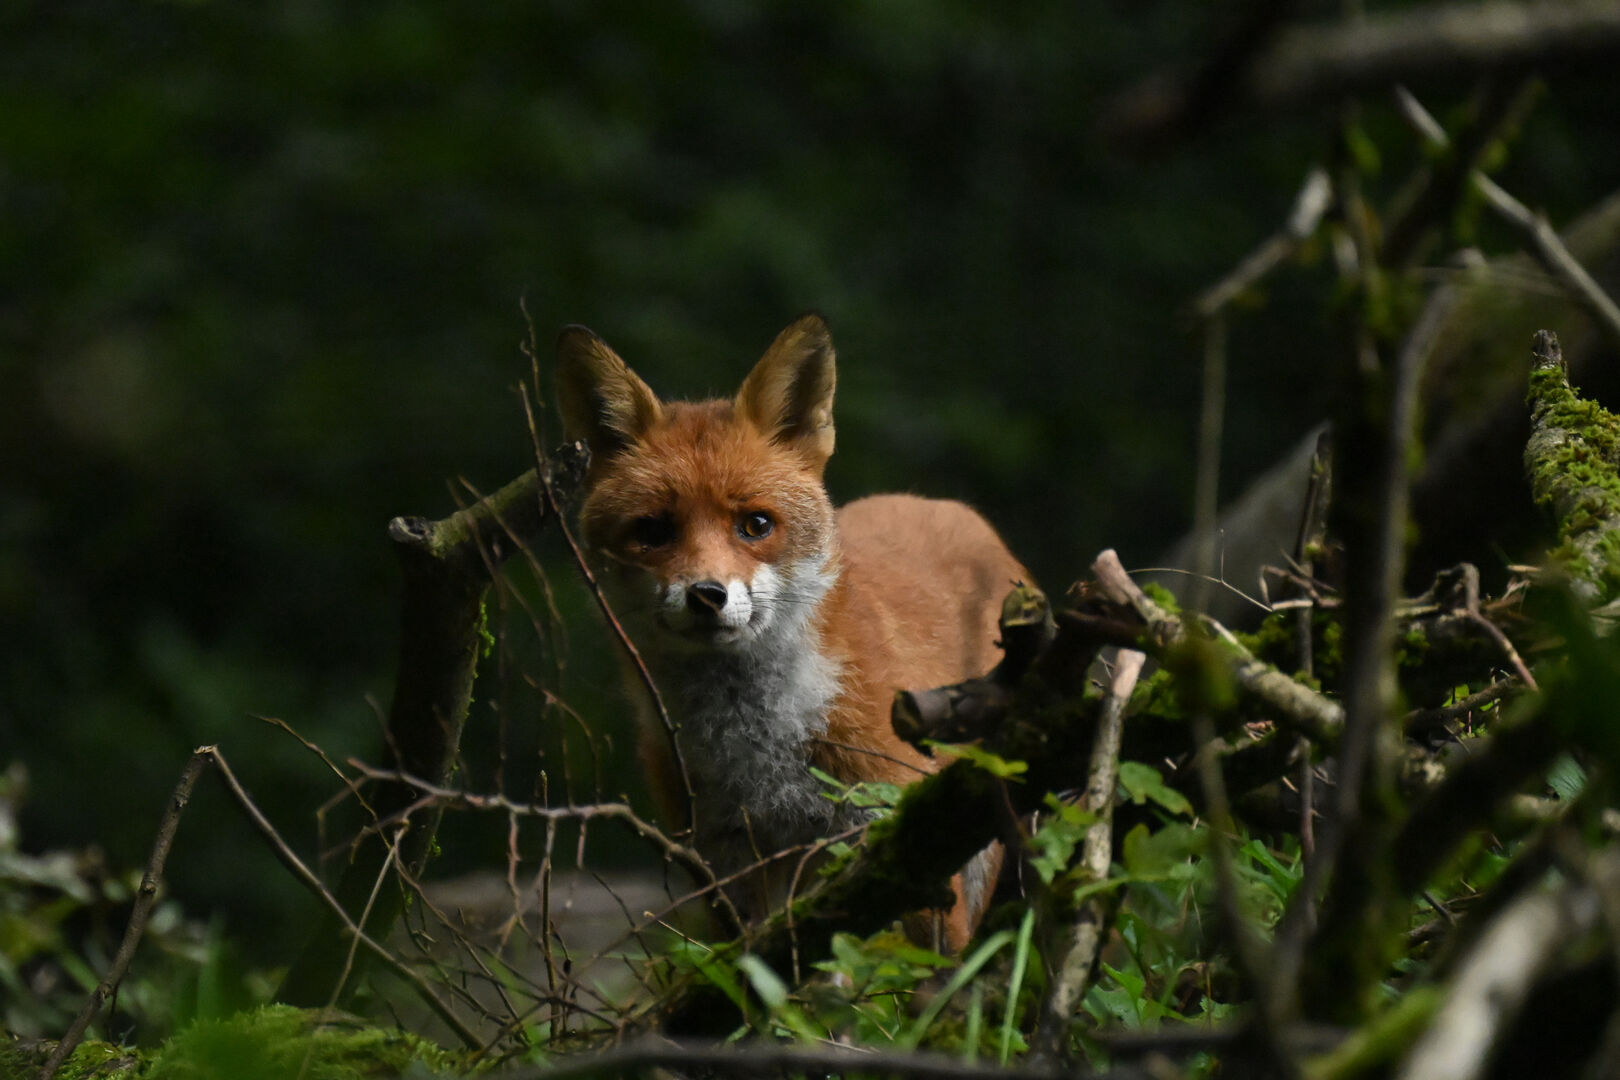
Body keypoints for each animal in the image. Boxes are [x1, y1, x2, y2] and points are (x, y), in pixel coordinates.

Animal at [555, 313, 1028, 950]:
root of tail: (950, 506)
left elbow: (935, 975)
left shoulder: (903, 837)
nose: (706, 595)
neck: (757, 743)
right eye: (653, 532)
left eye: (755, 524)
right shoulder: (727, 869)